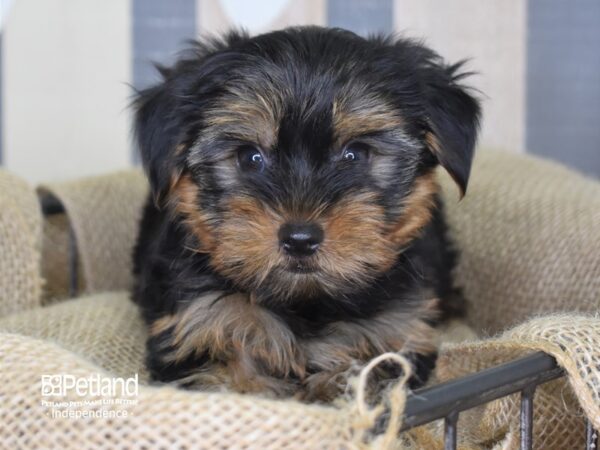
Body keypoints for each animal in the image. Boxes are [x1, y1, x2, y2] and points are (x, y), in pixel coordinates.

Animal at [131, 26, 478, 402]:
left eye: (355, 154)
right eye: (249, 157)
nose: (299, 239)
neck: (305, 301)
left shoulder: (397, 331)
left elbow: (364, 379)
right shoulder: (204, 322)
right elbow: (229, 384)